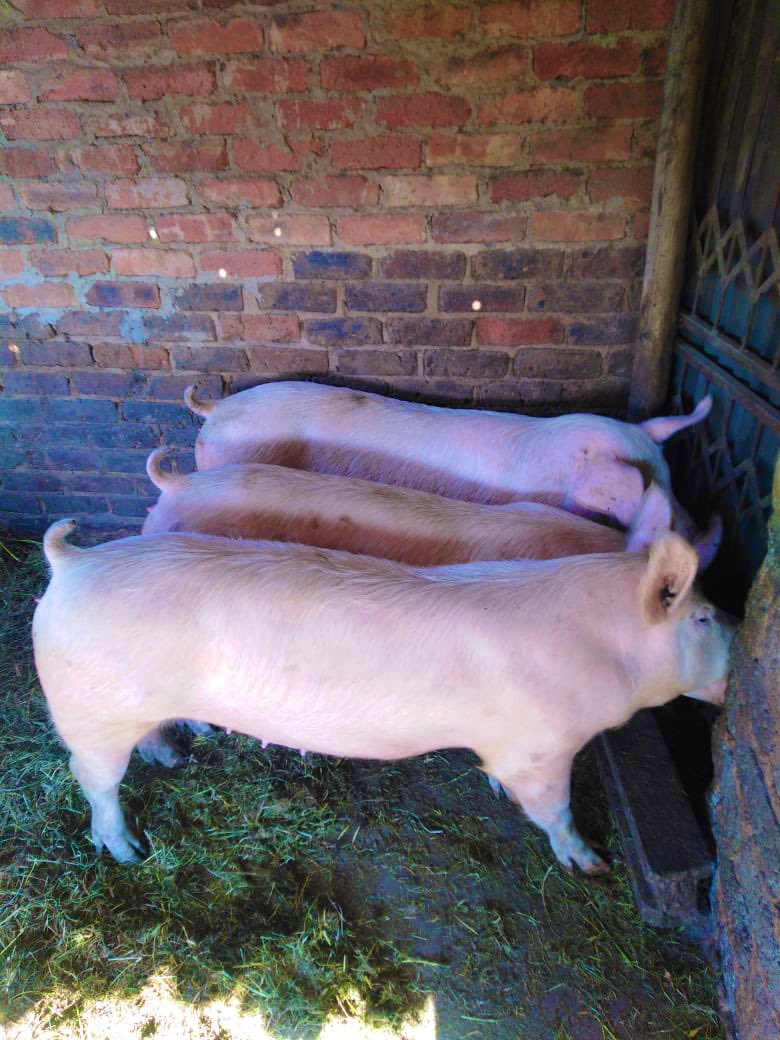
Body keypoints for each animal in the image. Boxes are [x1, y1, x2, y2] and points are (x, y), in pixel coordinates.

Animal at [33, 519, 732, 873]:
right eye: (702, 618)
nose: (736, 664)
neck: (603, 652)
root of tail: (71, 565)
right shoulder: (540, 746)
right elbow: (552, 808)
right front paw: (591, 863)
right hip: (91, 712)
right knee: (91, 778)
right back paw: (128, 852)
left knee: (146, 739)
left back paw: (179, 753)